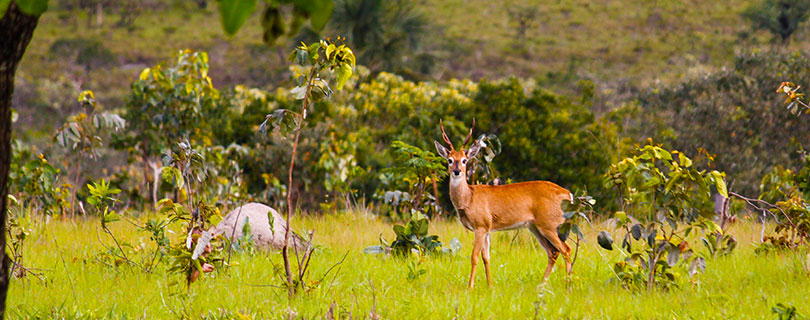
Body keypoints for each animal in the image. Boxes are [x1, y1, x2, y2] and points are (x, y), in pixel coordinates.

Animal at [432, 119, 572, 288]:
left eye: (464, 160)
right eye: (450, 160)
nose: (457, 171)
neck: (469, 199)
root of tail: (568, 194)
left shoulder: (480, 226)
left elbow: (474, 256)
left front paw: (470, 287)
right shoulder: (487, 228)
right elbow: (486, 258)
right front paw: (490, 285)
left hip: (550, 224)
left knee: (566, 250)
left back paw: (568, 286)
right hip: (535, 227)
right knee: (553, 252)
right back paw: (542, 285)